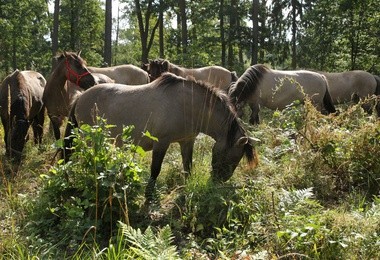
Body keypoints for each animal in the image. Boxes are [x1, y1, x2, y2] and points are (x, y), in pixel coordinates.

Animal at [63, 73, 258, 201]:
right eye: (233, 157)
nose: (217, 181)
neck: (188, 105)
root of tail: (80, 97)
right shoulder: (161, 144)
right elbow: (155, 170)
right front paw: (149, 196)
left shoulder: (187, 141)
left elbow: (187, 166)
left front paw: (187, 187)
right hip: (90, 140)